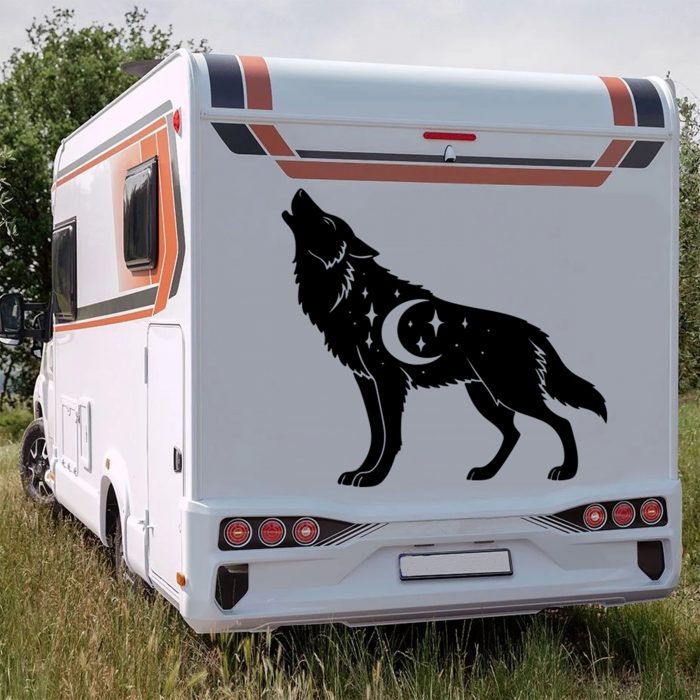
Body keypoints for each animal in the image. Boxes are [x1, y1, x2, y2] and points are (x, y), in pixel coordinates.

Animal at [282, 189, 607, 487]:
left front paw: (375, 477)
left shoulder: (388, 381)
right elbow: (376, 434)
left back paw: (567, 471)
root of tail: (533, 331)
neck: (348, 292)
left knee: (561, 422)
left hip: (512, 393)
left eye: (326, 221)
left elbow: (391, 436)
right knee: (514, 432)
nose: (300, 191)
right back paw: (486, 473)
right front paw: (361, 471)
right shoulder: (365, 381)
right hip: (485, 397)